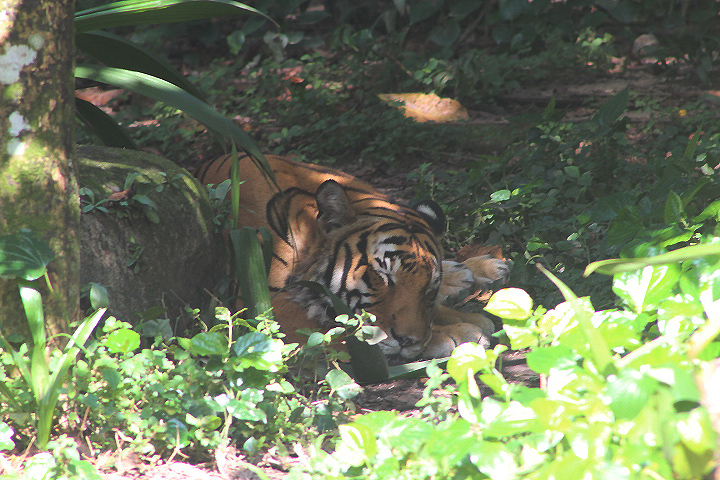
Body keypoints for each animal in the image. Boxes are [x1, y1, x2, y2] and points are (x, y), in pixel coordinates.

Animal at [195, 153, 510, 360]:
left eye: (428, 288)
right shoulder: (264, 306)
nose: (409, 341)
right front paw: (455, 334)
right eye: (382, 277)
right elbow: (339, 334)